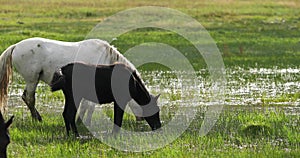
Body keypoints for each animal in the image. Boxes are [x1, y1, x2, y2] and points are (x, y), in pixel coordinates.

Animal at [0, 37, 143, 122]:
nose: (141, 120)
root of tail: (15, 46)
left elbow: (87, 106)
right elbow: (88, 106)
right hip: (32, 80)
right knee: (29, 98)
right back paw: (37, 119)